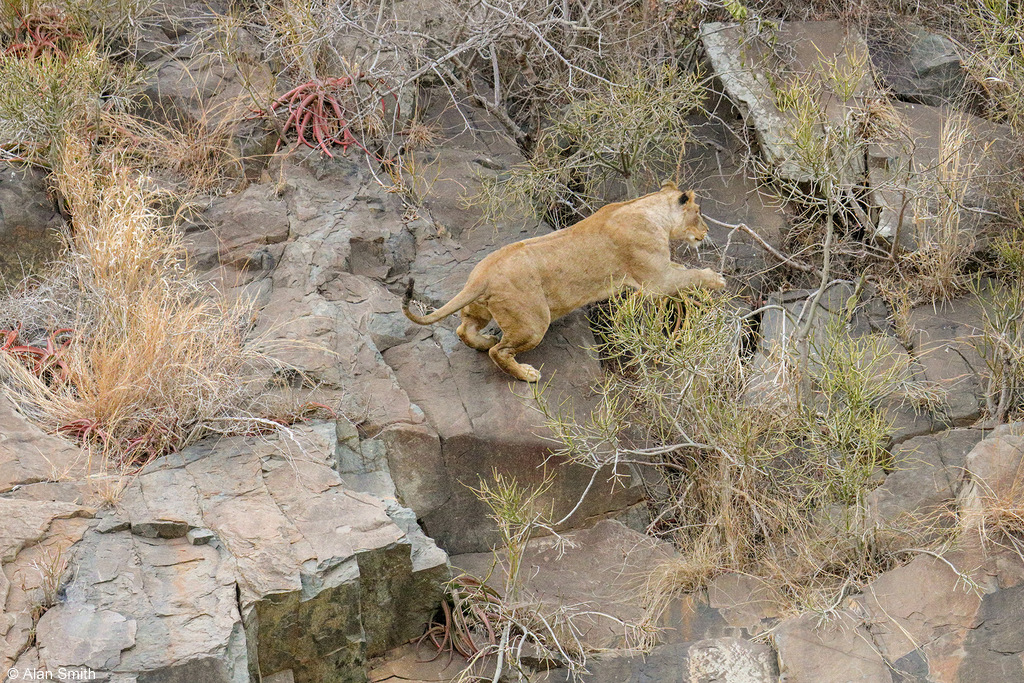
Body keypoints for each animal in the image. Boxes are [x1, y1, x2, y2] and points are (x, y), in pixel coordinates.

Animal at [402, 181, 726, 382]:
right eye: (698, 213)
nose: (707, 231)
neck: (650, 211)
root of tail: (481, 276)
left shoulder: (659, 273)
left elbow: (683, 270)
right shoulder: (657, 278)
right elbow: (690, 275)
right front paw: (717, 279)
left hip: (479, 308)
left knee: (463, 329)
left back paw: (484, 341)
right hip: (533, 321)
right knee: (500, 351)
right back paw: (526, 373)